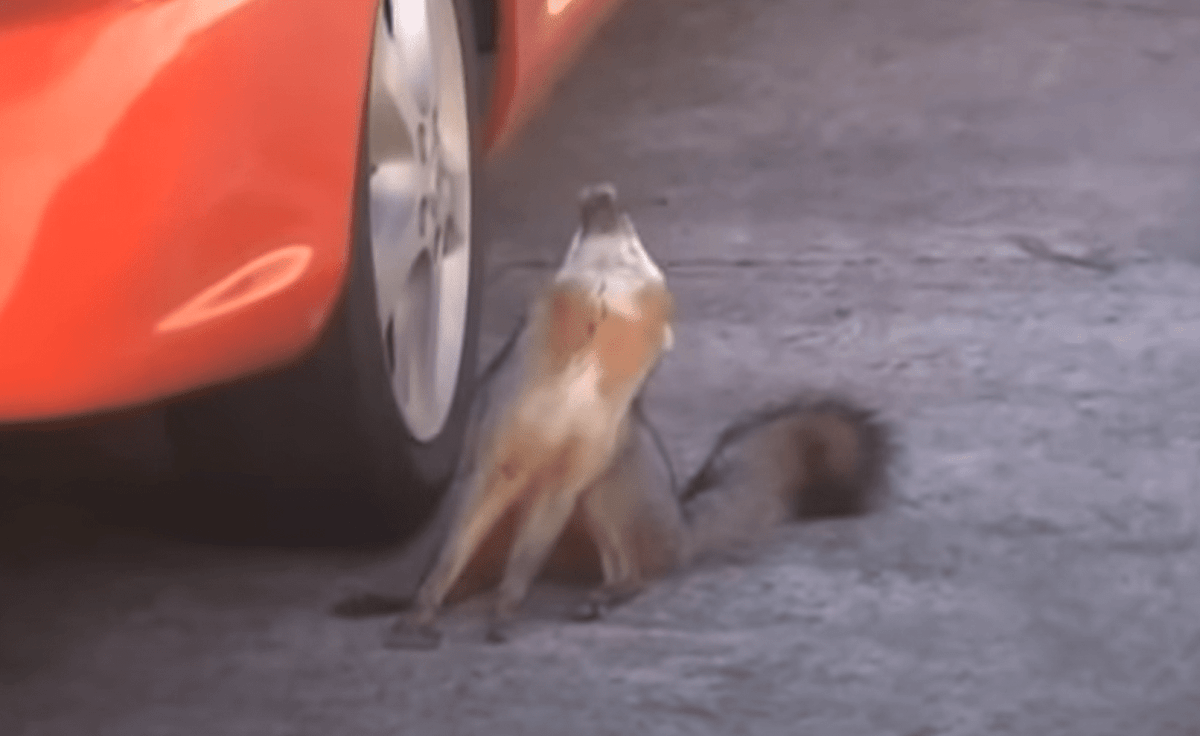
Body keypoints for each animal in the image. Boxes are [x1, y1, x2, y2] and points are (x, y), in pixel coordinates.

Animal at [333, 184, 888, 648]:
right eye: (582, 234)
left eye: (632, 244)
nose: (602, 193)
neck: (575, 380)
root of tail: (682, 522)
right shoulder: (494, 466)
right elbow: (446, 565)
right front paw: (420, 613)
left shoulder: (565, 481)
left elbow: (523, 566)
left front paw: (507, 612)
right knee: (467, 576)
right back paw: (395, 600)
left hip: (602, 490)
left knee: (633, 574)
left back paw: (605, 594)